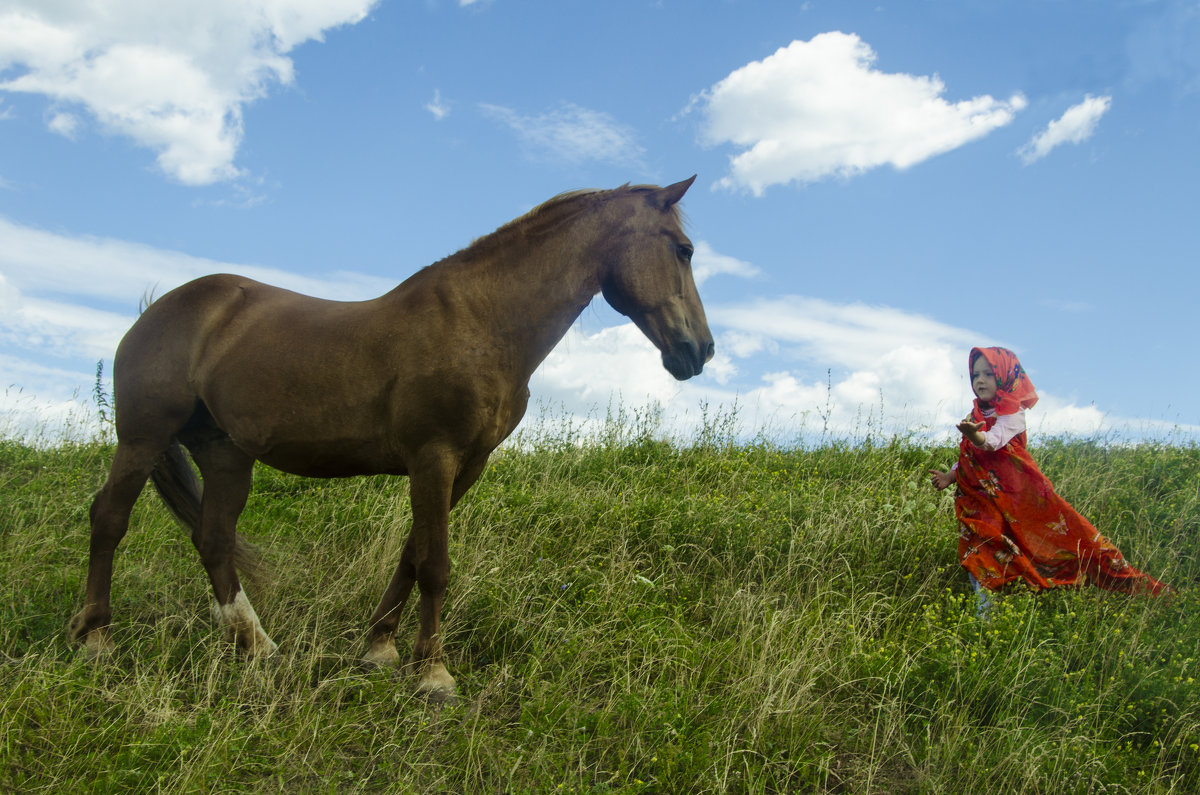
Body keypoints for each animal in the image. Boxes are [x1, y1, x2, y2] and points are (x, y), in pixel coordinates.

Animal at [68, 177, 710, 701]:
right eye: (684, 250)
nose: (699, 351)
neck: (482, 321)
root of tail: (163, 307)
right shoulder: (435, 457)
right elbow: (436, 565)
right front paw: (433, 676)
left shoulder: (465, 465)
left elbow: (411, 554)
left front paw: (379, 649)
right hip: (144, 437)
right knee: (110, 519)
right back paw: (96, 637)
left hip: (227, 454)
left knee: (214, 540)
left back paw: (257, 645)